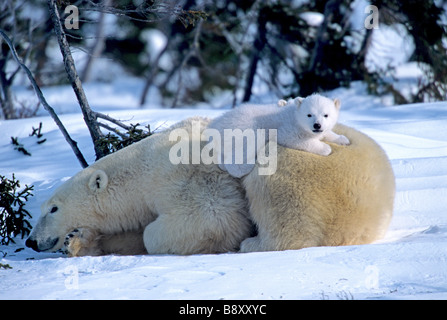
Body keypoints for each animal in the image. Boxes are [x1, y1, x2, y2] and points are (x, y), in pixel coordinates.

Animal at [26, 116, 396, 256]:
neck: (144, 169)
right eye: (42, 208)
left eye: (53, 208)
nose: (30, 241)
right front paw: (77, 241)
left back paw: (253, 243)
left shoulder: (190, 178)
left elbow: (210, 219)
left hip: (310, 165)